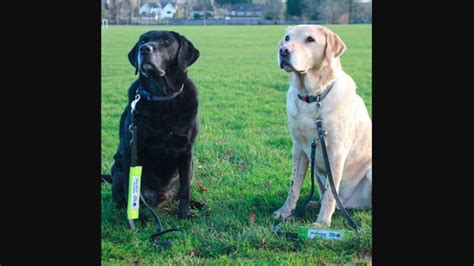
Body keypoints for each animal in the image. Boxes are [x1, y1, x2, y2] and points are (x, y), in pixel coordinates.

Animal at [103, 30, 200, 218]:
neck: (162, 97)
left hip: (191, 166)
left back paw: (196, 203)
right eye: (143, 40)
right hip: (117, 166)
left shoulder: (187, 150)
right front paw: (137, 218)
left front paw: (184, 214)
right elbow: (131, 188)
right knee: (120, 193)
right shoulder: (131, 149)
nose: (144, 49)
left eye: (166, 41)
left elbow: (185, 188)